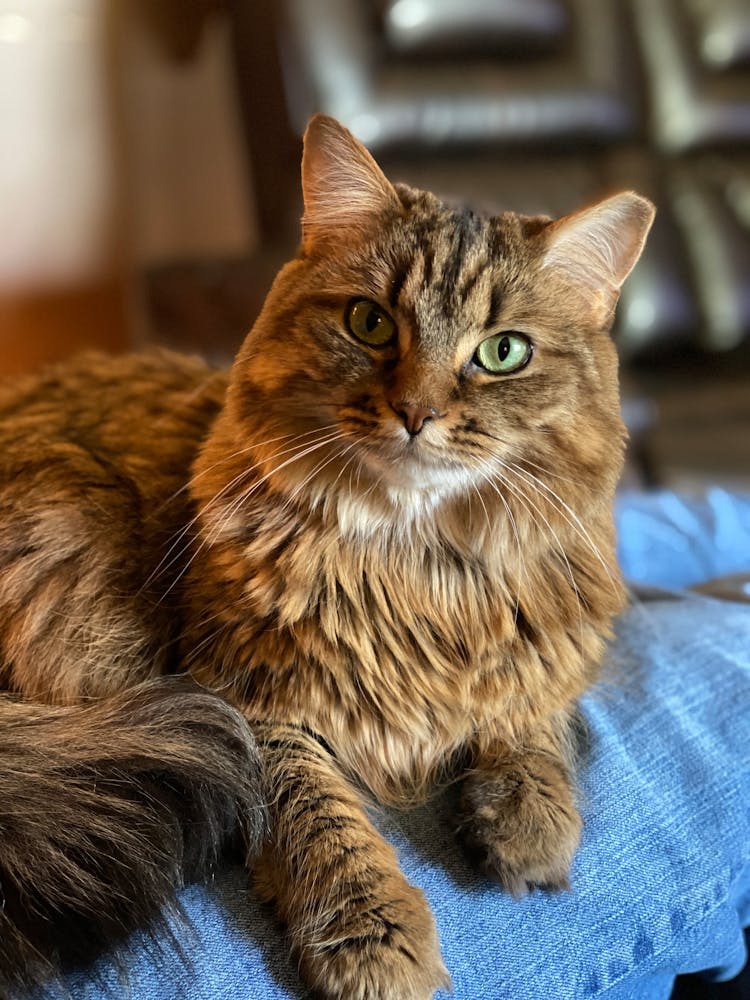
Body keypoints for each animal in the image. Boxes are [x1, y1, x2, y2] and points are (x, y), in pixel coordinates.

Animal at [0, 113, 656, 996]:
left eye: (504, 353)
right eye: (370, 322)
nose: (416, 411)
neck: (418, 567)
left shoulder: (548, 648)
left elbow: (528, 717)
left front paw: (530, 823)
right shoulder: (244, 706)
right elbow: (323, 823)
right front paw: (376, 938)